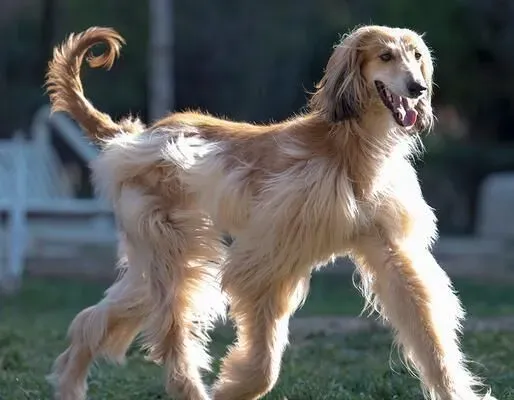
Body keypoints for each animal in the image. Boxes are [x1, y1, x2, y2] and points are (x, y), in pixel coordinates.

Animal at [46, 25, 494, 400]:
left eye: (417, 55)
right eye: (385, 56)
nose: (418, 88)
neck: (351, 147)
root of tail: (136, 136)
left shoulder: (391, 248)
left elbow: (425, 324)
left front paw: (453, 389)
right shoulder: (269, 257)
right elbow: (263, 362)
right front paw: (234, 389)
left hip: (161, 252)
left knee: (98, 317)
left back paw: (70, 383)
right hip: (175, 244)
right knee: (172, 328)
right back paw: (187, 387)